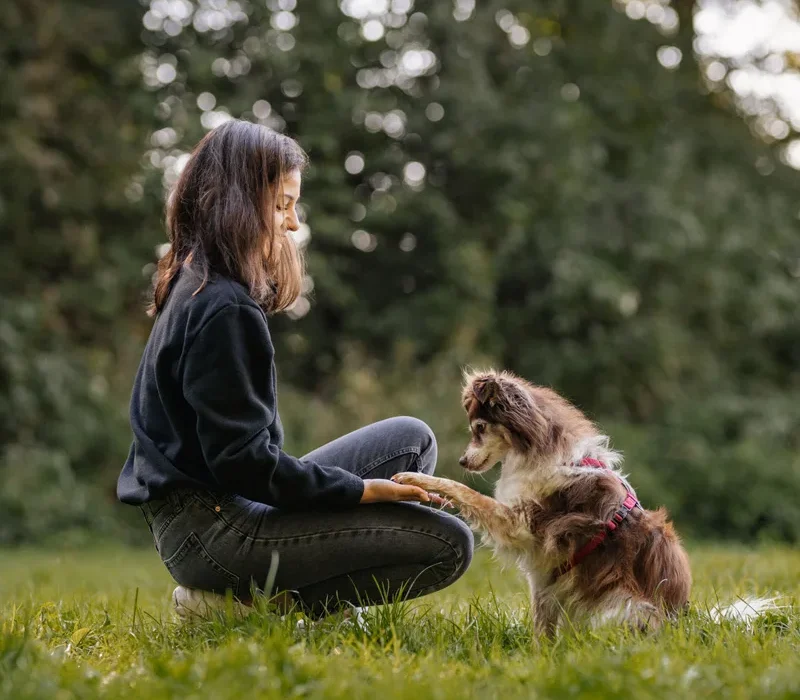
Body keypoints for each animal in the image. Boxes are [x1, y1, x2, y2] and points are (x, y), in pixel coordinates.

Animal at [390, 370, 692, 636]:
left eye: (480, 428)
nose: (462, 461)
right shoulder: (545, 576)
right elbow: (542, 623)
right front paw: (542, 654)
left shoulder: (518, 524)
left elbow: (463, 490)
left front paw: (416, 479)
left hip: (622, 607)